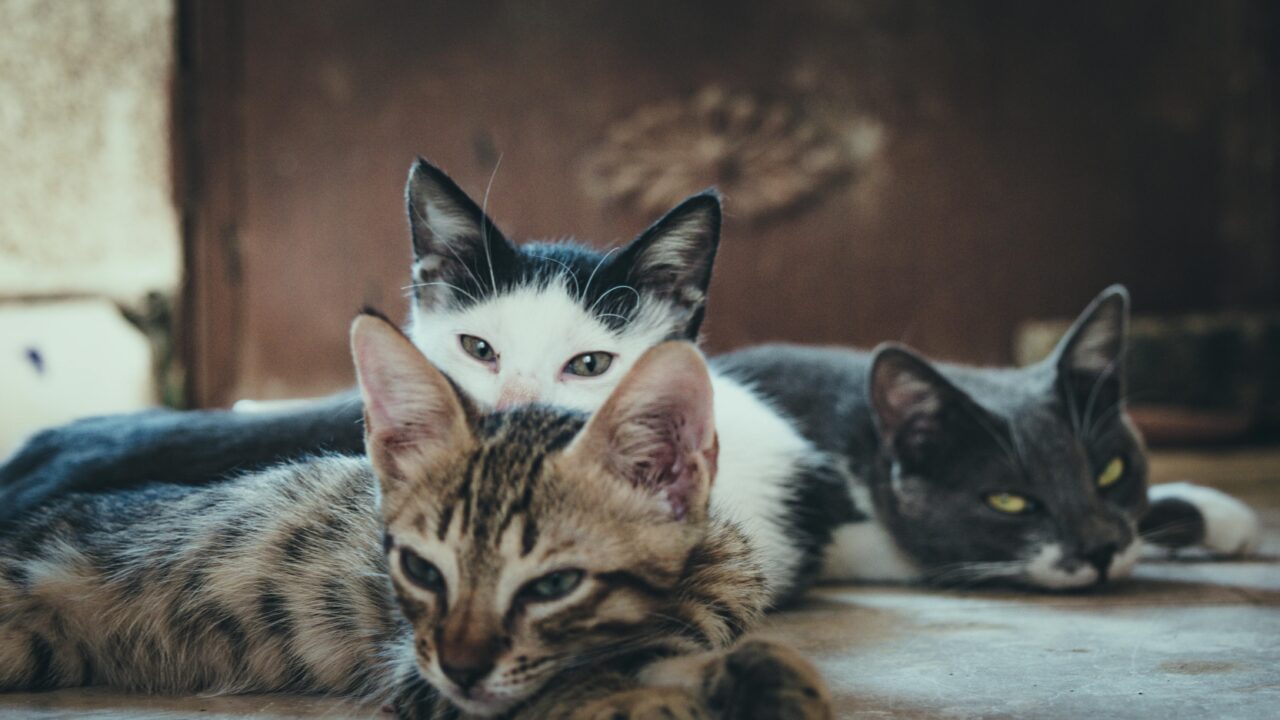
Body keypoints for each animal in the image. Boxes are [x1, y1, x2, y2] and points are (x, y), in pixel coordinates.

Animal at [0, 313, 829, 717]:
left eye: (553, 585)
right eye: (420, 570)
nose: (462, 665)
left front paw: (762, 680)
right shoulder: (422, 672)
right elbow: (575, 687)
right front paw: (658, 700)